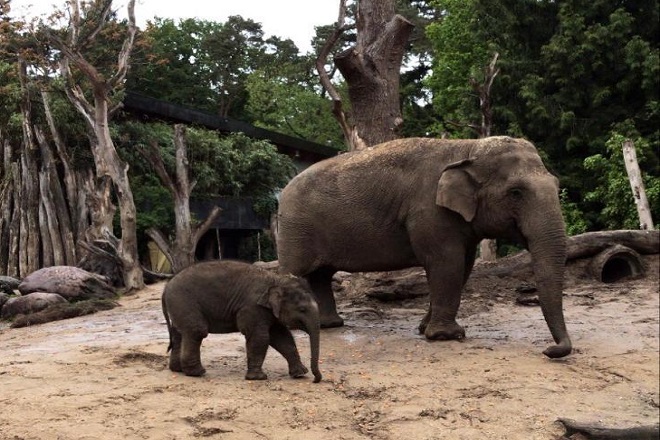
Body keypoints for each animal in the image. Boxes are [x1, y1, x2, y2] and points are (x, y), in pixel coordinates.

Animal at [162, 262, 322, 382]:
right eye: (302, 309)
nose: (315, 379)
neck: (276, 279)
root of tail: (166, 287)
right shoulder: (252, 307)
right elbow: (260, 337)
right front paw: (258, 378)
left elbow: (282, 337)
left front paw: (300, 374)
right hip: (183, 301)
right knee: (197, 331)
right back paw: (197, 373)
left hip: (178, 306)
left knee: (179, 334)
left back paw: (178, 369)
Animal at [276, 137, 568, 358]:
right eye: (516, 192)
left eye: (557, 185)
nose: (549, 350)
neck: (467, 148)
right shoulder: (430, 213)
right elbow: (446, 264)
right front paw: (447, 336)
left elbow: (462, 267)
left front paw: (424, 328)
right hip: (294, 230)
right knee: (297, 272)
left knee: (321, 275)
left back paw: (329, 324)